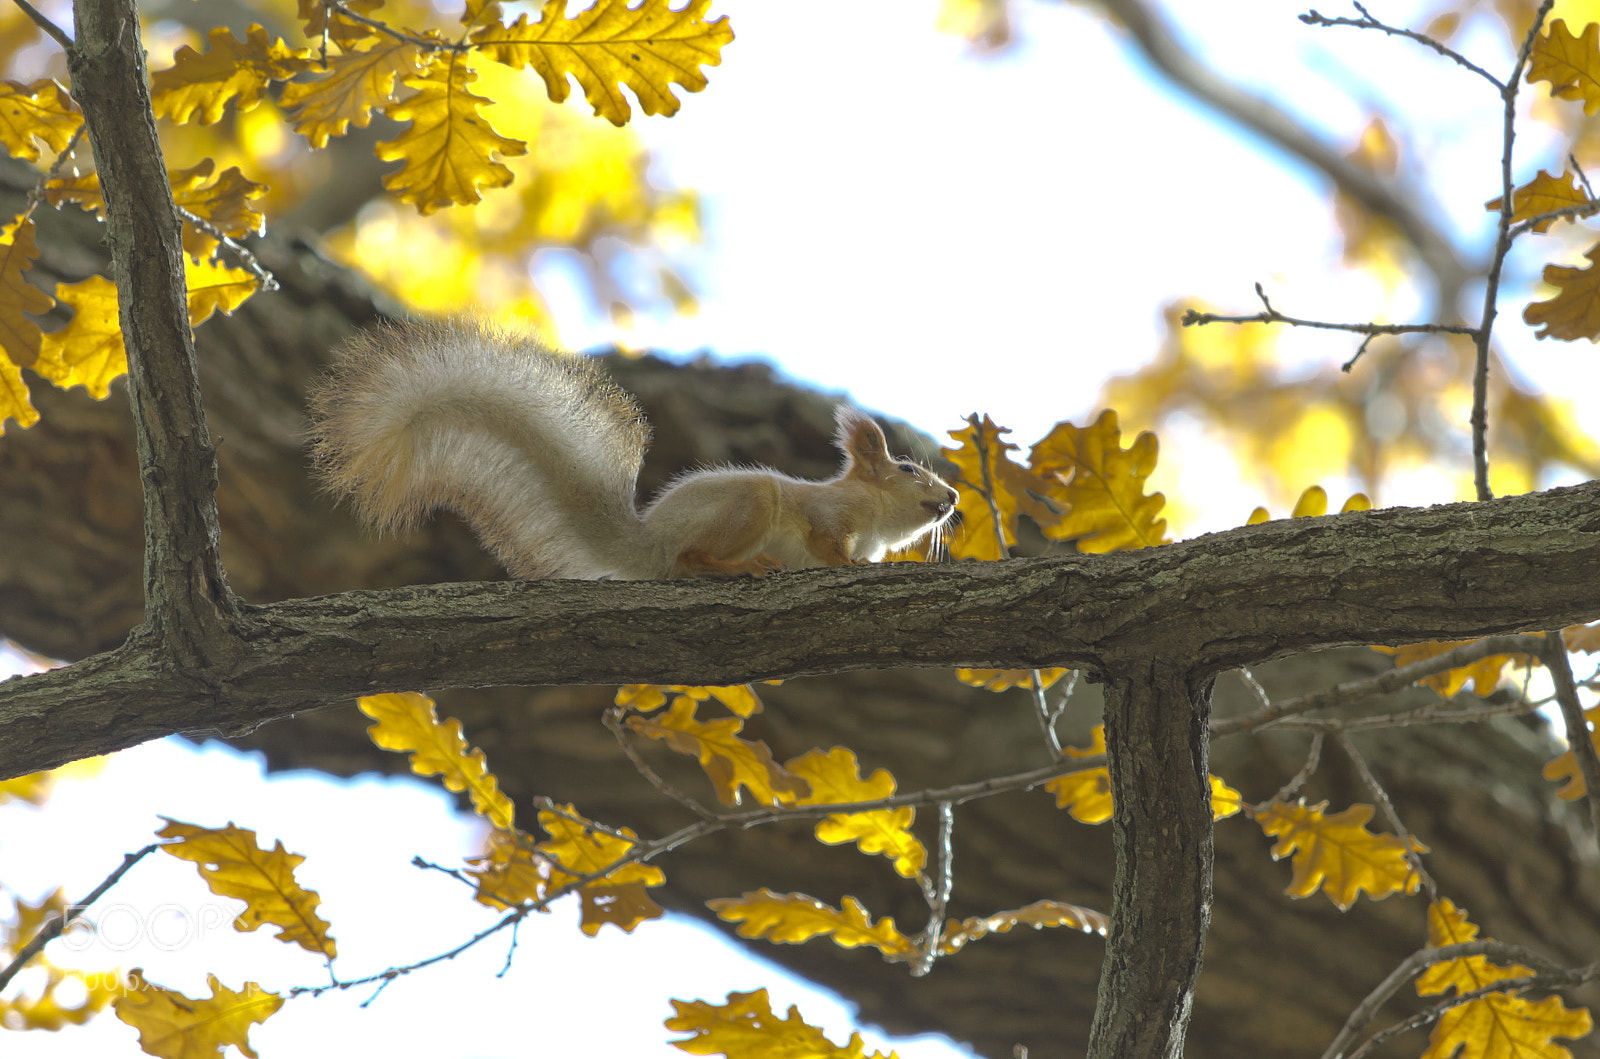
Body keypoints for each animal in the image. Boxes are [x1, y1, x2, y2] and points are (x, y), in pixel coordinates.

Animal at [306, 319, 959, 580]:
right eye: (907, 468)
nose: (952, 496)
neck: (874, 522)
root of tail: (649, 545)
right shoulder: (828, 517)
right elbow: (827, 544)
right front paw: (852, 567)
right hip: (748, 503)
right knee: (691, 561)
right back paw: (741, 565)